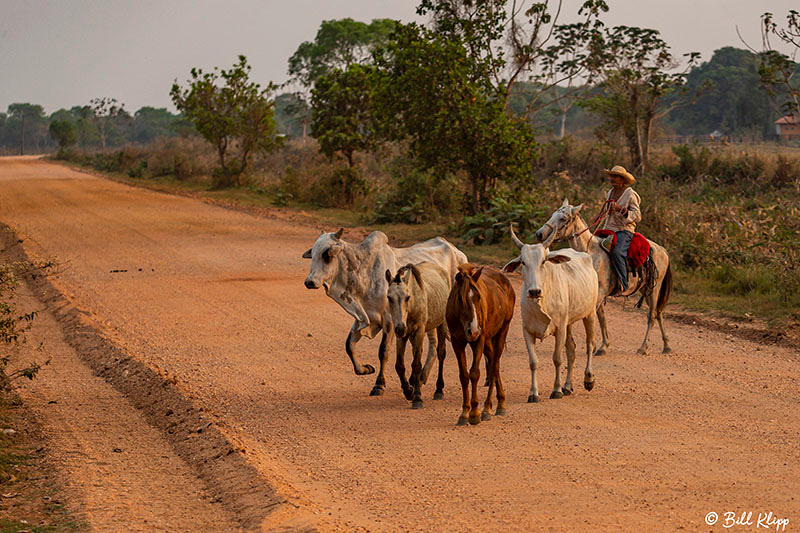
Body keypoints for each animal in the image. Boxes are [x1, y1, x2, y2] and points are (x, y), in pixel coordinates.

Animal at [304, 227, 468, 396]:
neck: (364, 271)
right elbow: (349, 345)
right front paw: (365, 369)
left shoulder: (389, 320)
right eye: (313, 254)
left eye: (326, 255)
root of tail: (458, 253)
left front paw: (379, 384)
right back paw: (420, 378)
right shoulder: (363, 318)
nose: (309, 282)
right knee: (432, 346)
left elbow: (383, 351)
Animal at [446, 262, 516, 424]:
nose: (473, 330)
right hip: (487, 341)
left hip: (502, 331)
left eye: (478, 297)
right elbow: (464, 376)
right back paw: (499, 403)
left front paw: (474, 413)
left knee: (494, 366)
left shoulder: (479, 340)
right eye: (460, 299)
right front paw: (464, 412)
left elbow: (474, 373)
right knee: (493, 364)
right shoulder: (456, 342)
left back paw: (488, 408)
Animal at [504, 224, 596, 404]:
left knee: (590, 344)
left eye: (544, 261)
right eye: (523, 262)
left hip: (590, 313)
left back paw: (588, 379)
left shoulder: (559, 329)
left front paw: (556, 390)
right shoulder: (527, 331)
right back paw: (568, 386)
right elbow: (533, 362)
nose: (534, 291)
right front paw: (534, 393)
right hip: (569, 322)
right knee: (572, 350)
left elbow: (557, 359)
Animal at [536, 197, 672, 356]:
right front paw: (603, 346)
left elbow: (593, 316)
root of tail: (662, 250)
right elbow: (601, 317)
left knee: (652, 315)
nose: (539, 234)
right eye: (553, 214)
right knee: (658, 313)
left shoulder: (600, 294)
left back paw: (643, 347)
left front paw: (593, 346)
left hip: (654, 288)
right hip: (645, 288)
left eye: (563, 218)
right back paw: (666, 346)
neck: (589, 254)